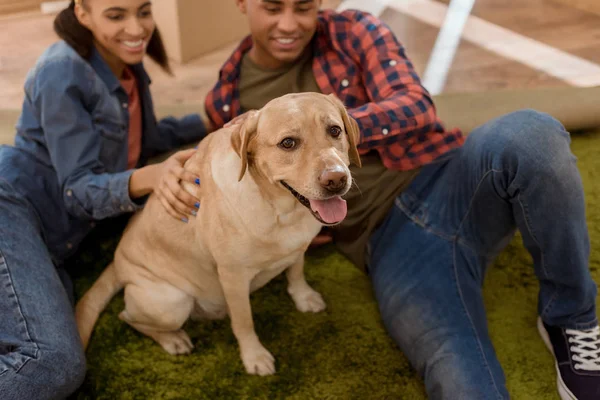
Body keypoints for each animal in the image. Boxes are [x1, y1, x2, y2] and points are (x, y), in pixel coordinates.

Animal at [75, 92, 360, 376]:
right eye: (288, 143)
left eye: (335, 130)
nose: (336, 180)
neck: (280, 210)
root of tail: (116, 262)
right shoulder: (233, 277)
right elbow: (244, 321)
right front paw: (253, 356)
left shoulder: (298, 248)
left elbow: (296, 272)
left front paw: (303, 297)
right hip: (172, 302)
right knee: (127, 317)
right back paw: (173, 339)